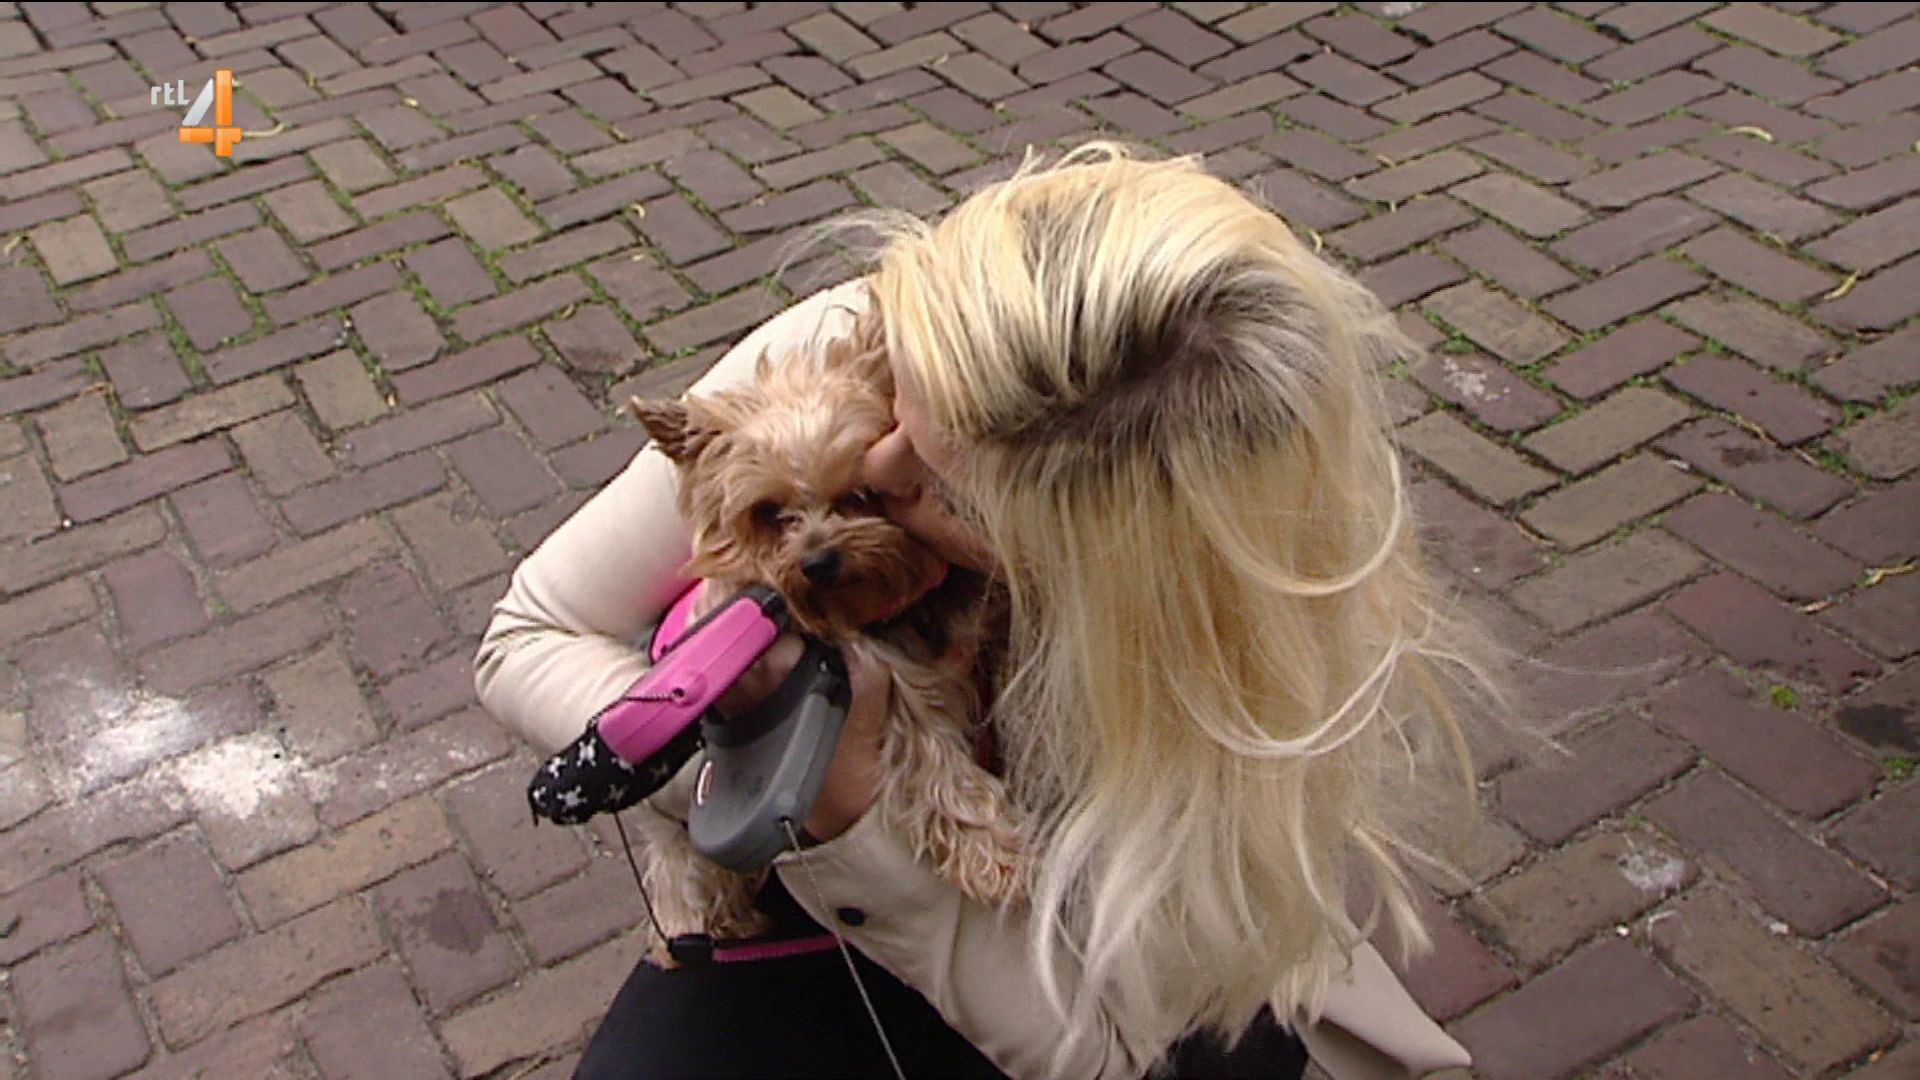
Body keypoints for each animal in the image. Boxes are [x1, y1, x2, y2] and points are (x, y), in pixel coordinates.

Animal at [624, 313, 1025, 968]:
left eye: (859, 493)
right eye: (768, 512)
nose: (817, 561)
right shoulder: (876, 677)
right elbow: (934, 761)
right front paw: (996, 854)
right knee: (678, 867)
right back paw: (695, 932)